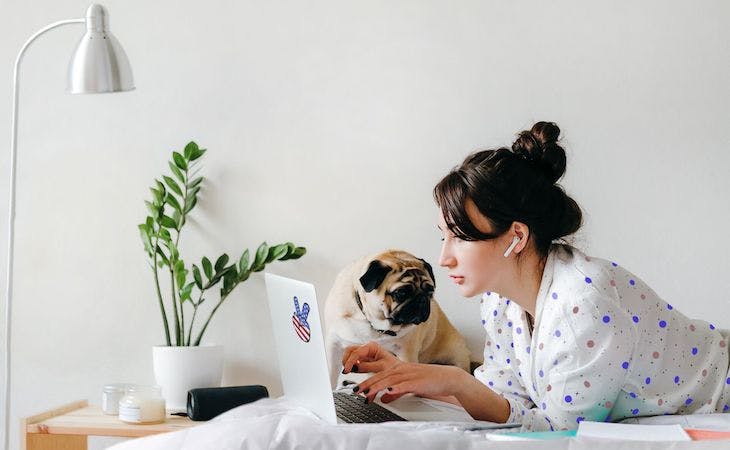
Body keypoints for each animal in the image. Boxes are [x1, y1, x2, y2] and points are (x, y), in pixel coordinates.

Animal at [322, 248, 470, 388]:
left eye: (430, 292)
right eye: (401, 293)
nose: (422, 299)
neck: (375, 325)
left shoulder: (406, 352)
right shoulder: (334, 343)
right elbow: (330, 372)